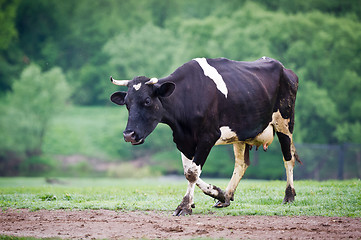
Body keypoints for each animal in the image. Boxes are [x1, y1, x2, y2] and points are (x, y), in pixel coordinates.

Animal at [109, 56, 298, 216]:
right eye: (126, 103)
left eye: (147, 100)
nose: (129, 134)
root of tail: (284, 68)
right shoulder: (182, 140)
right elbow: (189, 171)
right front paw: (218, 194)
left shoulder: (208, 136)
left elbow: (193, 172)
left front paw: (184, 206)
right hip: (241, 132)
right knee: (241, 163)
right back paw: (227, 196)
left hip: (284, 121)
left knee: (288, 157)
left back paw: (289, 196)